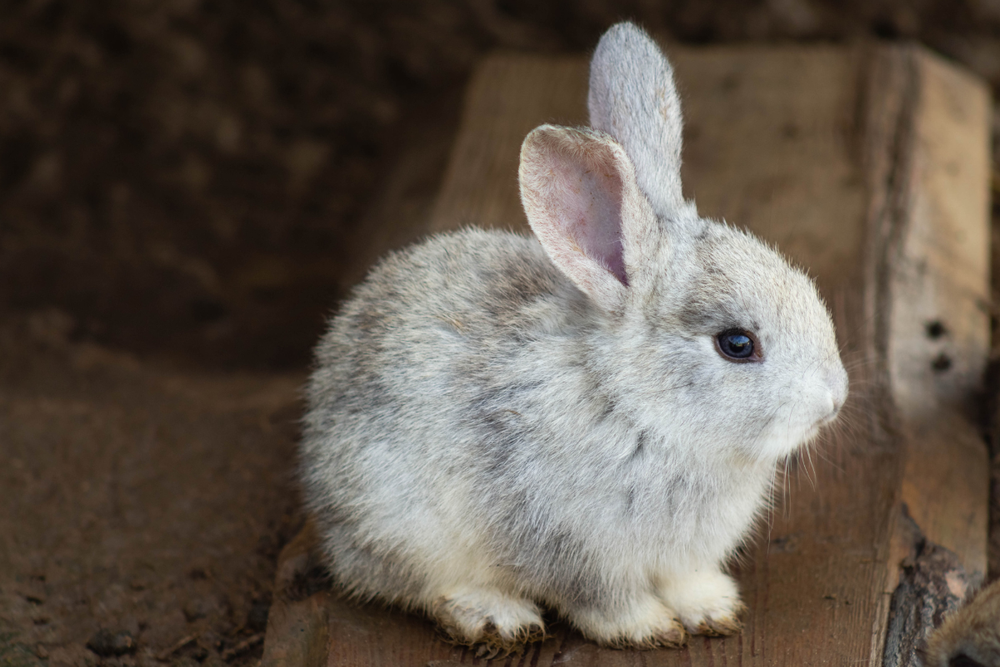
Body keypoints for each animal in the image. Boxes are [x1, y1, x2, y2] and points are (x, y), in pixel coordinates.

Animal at [300, 21, 848, 653]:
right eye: (736, 344)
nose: (834, 400)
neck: (636, 407)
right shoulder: (572, 548)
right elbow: (603, 602)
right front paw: (649, 629)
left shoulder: (681, 557)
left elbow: (687, 580)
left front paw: (713, 610)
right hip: (402, 524)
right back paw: (496, 616)